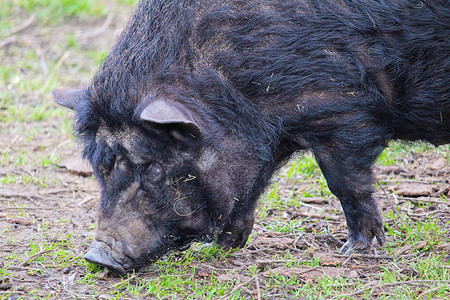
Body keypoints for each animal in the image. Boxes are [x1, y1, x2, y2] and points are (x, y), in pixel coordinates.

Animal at [51, 0, 446, 276]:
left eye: (150, 167)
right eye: (100, 168)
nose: (97, 256)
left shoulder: (343, 111)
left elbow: (346, 185)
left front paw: (355, 250)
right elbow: (247, 193)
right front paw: (225, 246)